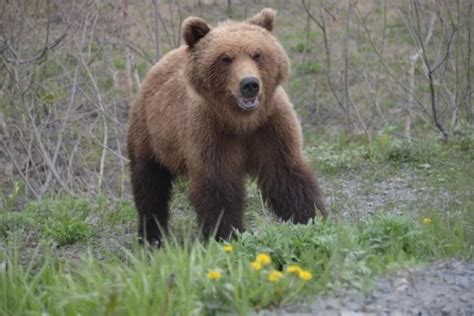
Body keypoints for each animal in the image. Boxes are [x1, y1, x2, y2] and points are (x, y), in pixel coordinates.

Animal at [127, 6, 326, 244]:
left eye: (257, 54)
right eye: (225, 58)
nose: (249, 84)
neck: (242, 121)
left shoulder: (270, 126)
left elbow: (286, 173)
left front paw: (309, 217)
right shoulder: (210, 133)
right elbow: (218, 187)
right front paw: (227, 234)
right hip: (151, 134)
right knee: (149, 185)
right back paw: (152, 236)